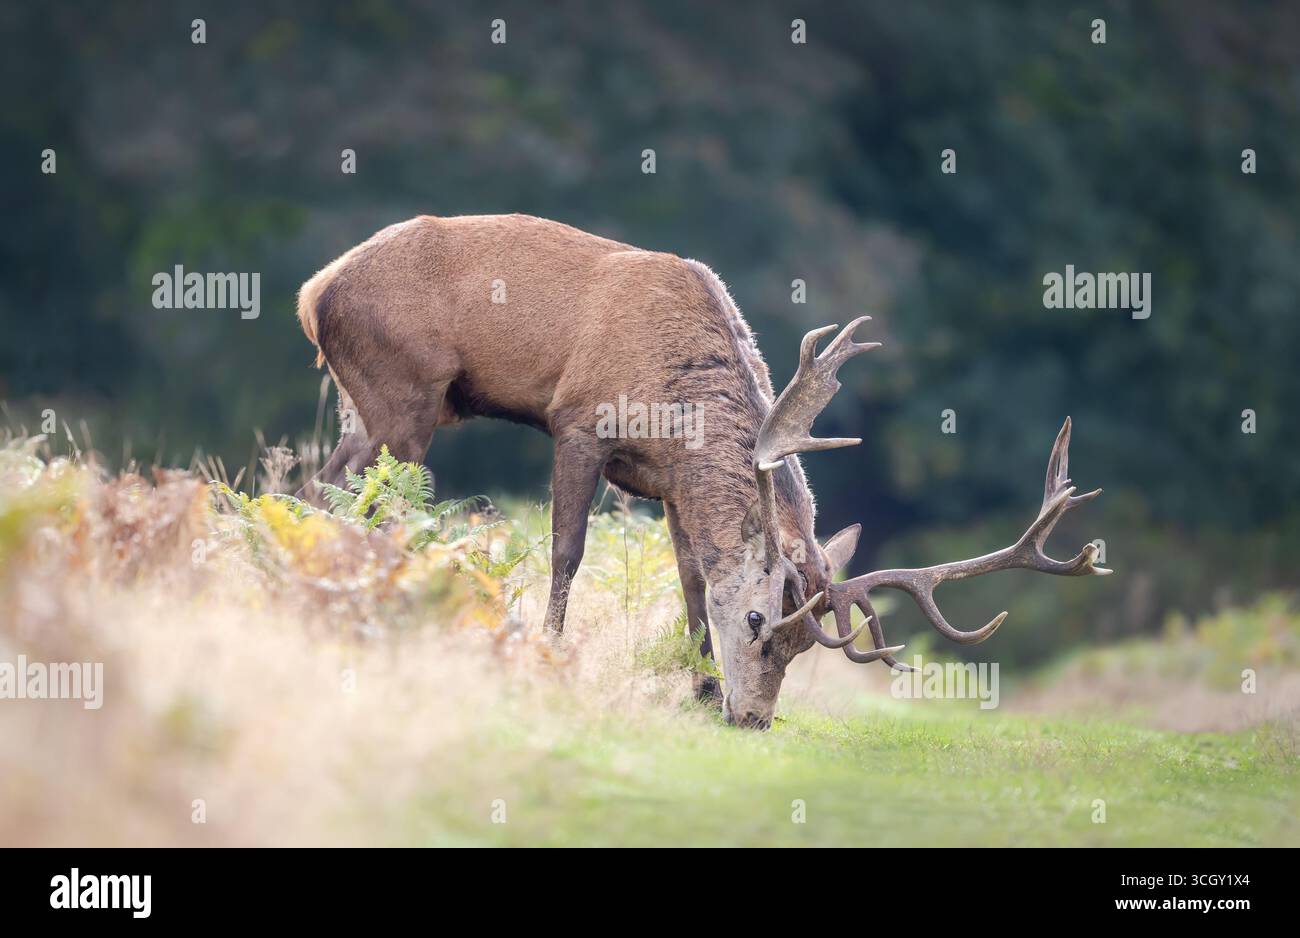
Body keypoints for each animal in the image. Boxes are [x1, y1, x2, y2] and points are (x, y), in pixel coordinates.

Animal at [296, 213, 1110, 729]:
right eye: (758, 620)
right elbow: (568, 549)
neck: (675, 407)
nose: (752, 718)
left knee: (317, 488)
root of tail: (314, 291)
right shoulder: (579, 422)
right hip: (403, 395)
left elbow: (692, 576)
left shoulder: (666, 484)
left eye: (804, 646)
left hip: (372, 407)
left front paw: (697, 684)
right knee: (366, 502)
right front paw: (552, 651)